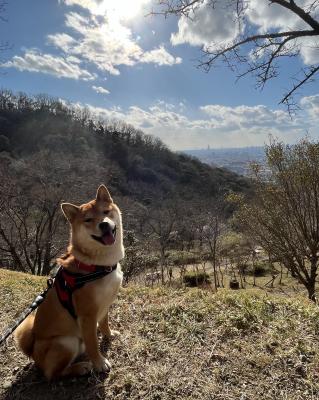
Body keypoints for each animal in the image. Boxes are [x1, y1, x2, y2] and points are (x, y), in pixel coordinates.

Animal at [14, 184, 125, 378]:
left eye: (106, 211)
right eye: (88, 220)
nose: (104, 224)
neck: (97, 265)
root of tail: (33, 352)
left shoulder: (105, 305)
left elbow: (104, 324)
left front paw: (109, 334)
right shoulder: (87, 316)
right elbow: (93, 344)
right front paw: (99, 363)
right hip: (66, 342)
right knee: (54, 374)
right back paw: (81, 367)